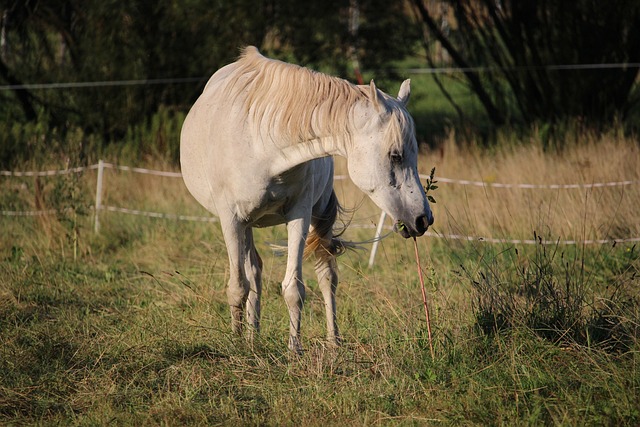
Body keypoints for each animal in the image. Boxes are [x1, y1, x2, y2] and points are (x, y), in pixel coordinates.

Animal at [180, 47, 432, 354]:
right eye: (395, 155)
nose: (423, 219)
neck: (262, 143)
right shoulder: (231, 220)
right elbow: (238, 287)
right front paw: (237, 344)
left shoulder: (298, 216)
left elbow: (293, 289)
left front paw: (294, 349)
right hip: (247, 224)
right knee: (253, 273)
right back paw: (251, 339)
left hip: (315, 217)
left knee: (326, 276)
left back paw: (332, 341)